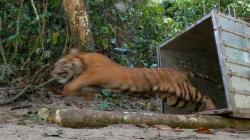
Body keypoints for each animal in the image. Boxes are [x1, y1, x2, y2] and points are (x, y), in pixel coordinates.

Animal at [51, 48, 216, 111]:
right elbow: (86, 91)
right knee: (195, 100)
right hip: (174, 98)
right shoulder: (93, 84)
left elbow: (76, 82)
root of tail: (178, 70)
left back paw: (211, 108)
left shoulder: (94, 73)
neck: (82, 62)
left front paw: (67, 91)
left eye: (60, 63)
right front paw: (85, 100)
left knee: (204, 95)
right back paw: (197, 111)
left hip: (182, 89)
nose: (52, 73)